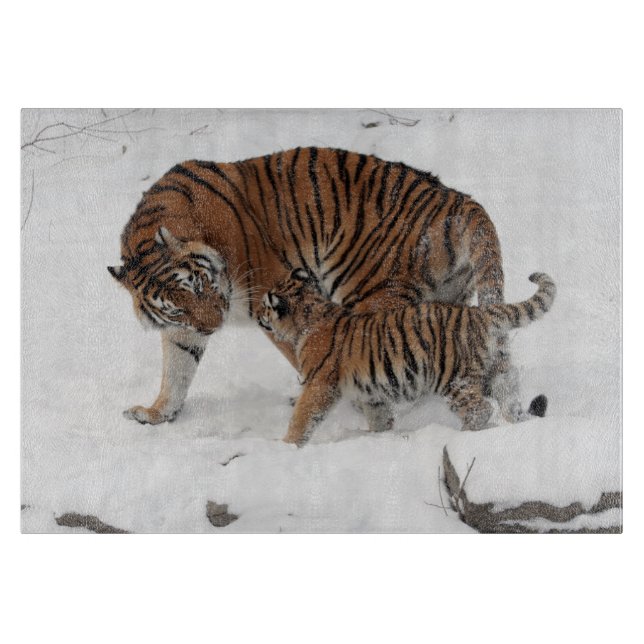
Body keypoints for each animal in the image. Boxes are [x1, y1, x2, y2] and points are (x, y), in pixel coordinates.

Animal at [108, 146, 540, 426]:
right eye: (176, 307)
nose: (214, 325)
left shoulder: (274, 296)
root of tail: (460, 201)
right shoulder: (183, 329)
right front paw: (157, 414)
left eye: (198, 284)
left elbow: (302, 353)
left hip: (371, 293)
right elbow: (177, 369)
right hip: (451, 302)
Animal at [258, 268, 556, 445]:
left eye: (265, 306)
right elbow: (379, 416)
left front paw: (287, 445)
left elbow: (302, 417)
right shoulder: (371, 391)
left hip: (453, 380)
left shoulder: (319, 384)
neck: (309, 315)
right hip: (497, 371)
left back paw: (459, 435)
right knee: (510, 401)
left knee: (480, 409)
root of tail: (479, 313)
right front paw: (377, 435)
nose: (259, 315)